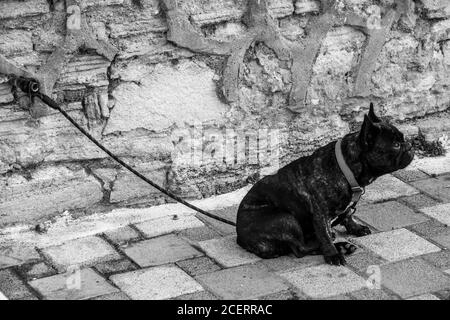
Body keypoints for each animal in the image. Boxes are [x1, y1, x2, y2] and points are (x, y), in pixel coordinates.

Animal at [236, 104, 414, 264]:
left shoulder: (345, 207)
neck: (346, 167)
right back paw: (339, 247)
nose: (410, 146)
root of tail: (240, 238)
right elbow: (325, 235)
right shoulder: (320, 213)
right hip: (285, 218)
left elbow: (348, 215)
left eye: (403, 139)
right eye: (396, 145)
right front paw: (332, 254)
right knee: (300, 248)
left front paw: (356, 228)